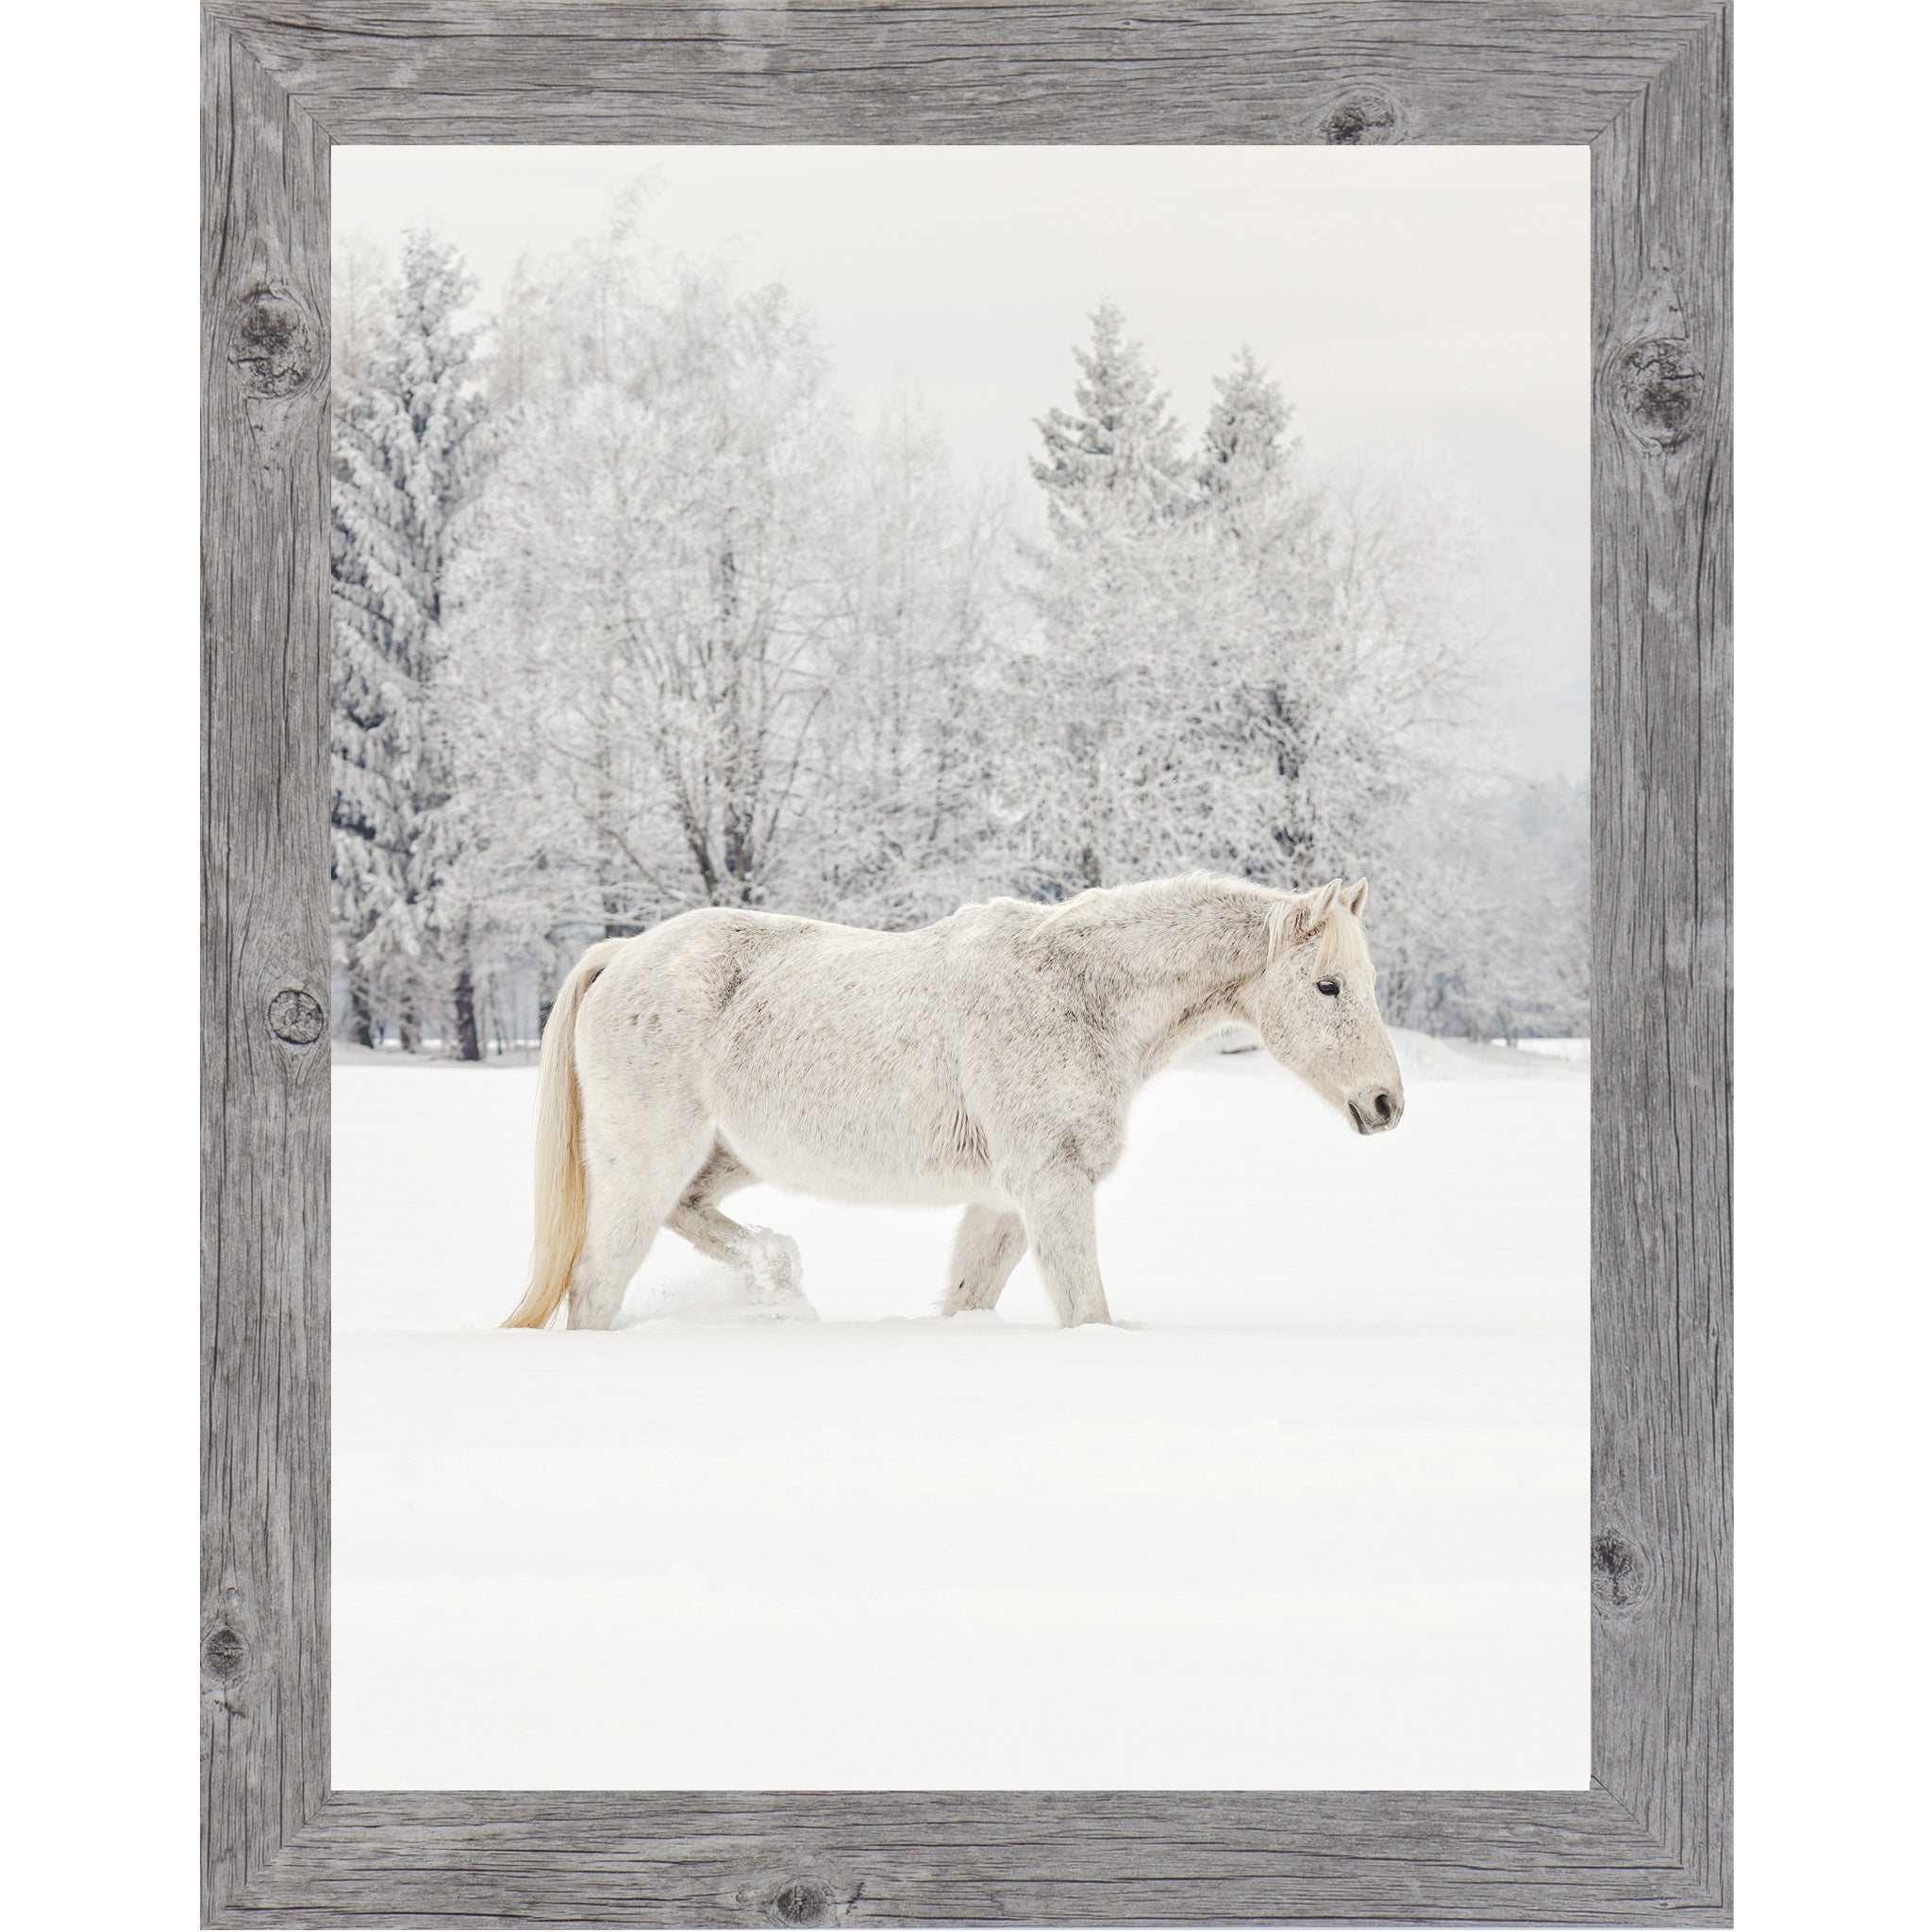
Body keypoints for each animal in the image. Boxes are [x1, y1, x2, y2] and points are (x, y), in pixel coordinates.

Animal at [501, 871, 1405, 1332]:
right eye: (1327, 985)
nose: (1386, 1103)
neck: (1077, 994)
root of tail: (622, 954)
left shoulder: (1003, 1203)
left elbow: (970, 1297)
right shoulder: (1051, 1187)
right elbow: (1088, 1310)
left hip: (723, 1157)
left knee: (690, 1218)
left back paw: (778, 1277)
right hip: (644, 1163)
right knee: (595, 1286)